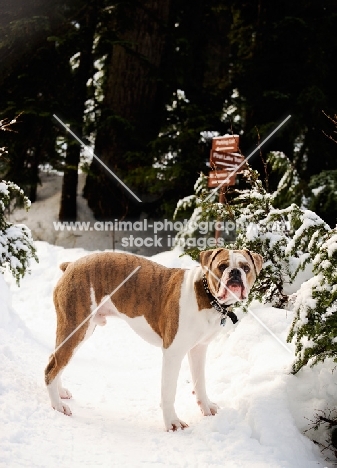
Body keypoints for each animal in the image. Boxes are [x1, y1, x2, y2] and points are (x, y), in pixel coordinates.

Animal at [44, 249, 262, 432]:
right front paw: (172, 423)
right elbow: (168, 391)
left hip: (76, 331)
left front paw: (206, 407)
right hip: (77, 328)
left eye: (245, 268)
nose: (235, 273)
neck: (208, 296)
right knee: (51, 368)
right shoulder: (173, 353)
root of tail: (71, 265)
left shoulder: (199, 349)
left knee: (56, 360)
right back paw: (58, 406)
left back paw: (60, 392)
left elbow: (200, 382)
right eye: (222, 266)